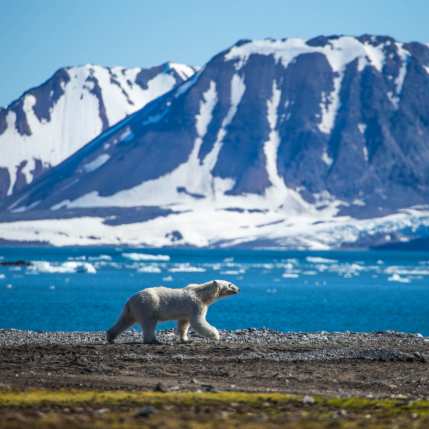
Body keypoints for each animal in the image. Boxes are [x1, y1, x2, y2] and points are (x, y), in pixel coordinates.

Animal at [105, 280, 239, 342]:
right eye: (230, 284)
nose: (238, 289)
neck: (202, 295)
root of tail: (130, 299)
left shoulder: (186, 311)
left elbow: (183, 324)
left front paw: (185, 338)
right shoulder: (196, 306)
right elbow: (199, 322)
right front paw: (216, 335)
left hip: (131, 309)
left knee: (124, 320)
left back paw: (111, 336)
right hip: (148, 305)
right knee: (149, 323)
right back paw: (153, 340)